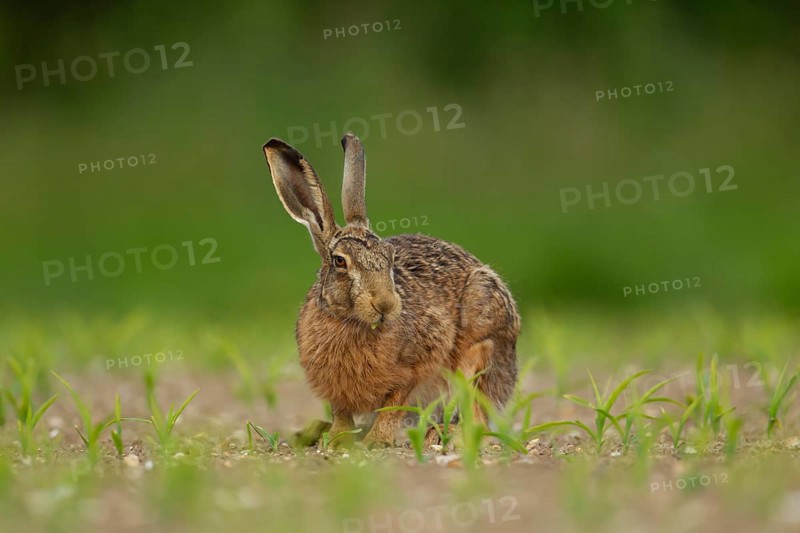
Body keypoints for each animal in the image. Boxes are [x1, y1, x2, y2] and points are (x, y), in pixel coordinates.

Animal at [262, 133, 520, 448]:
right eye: (340, 261)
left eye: (391, 257)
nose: (385, 304)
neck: (352, 323)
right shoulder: (336, 388)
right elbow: (342, 413)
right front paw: (337, 440)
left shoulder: (415, 367)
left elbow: (394, 405)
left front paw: (376, 442)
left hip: (479, 350)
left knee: (476, 414)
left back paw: (442, 435)